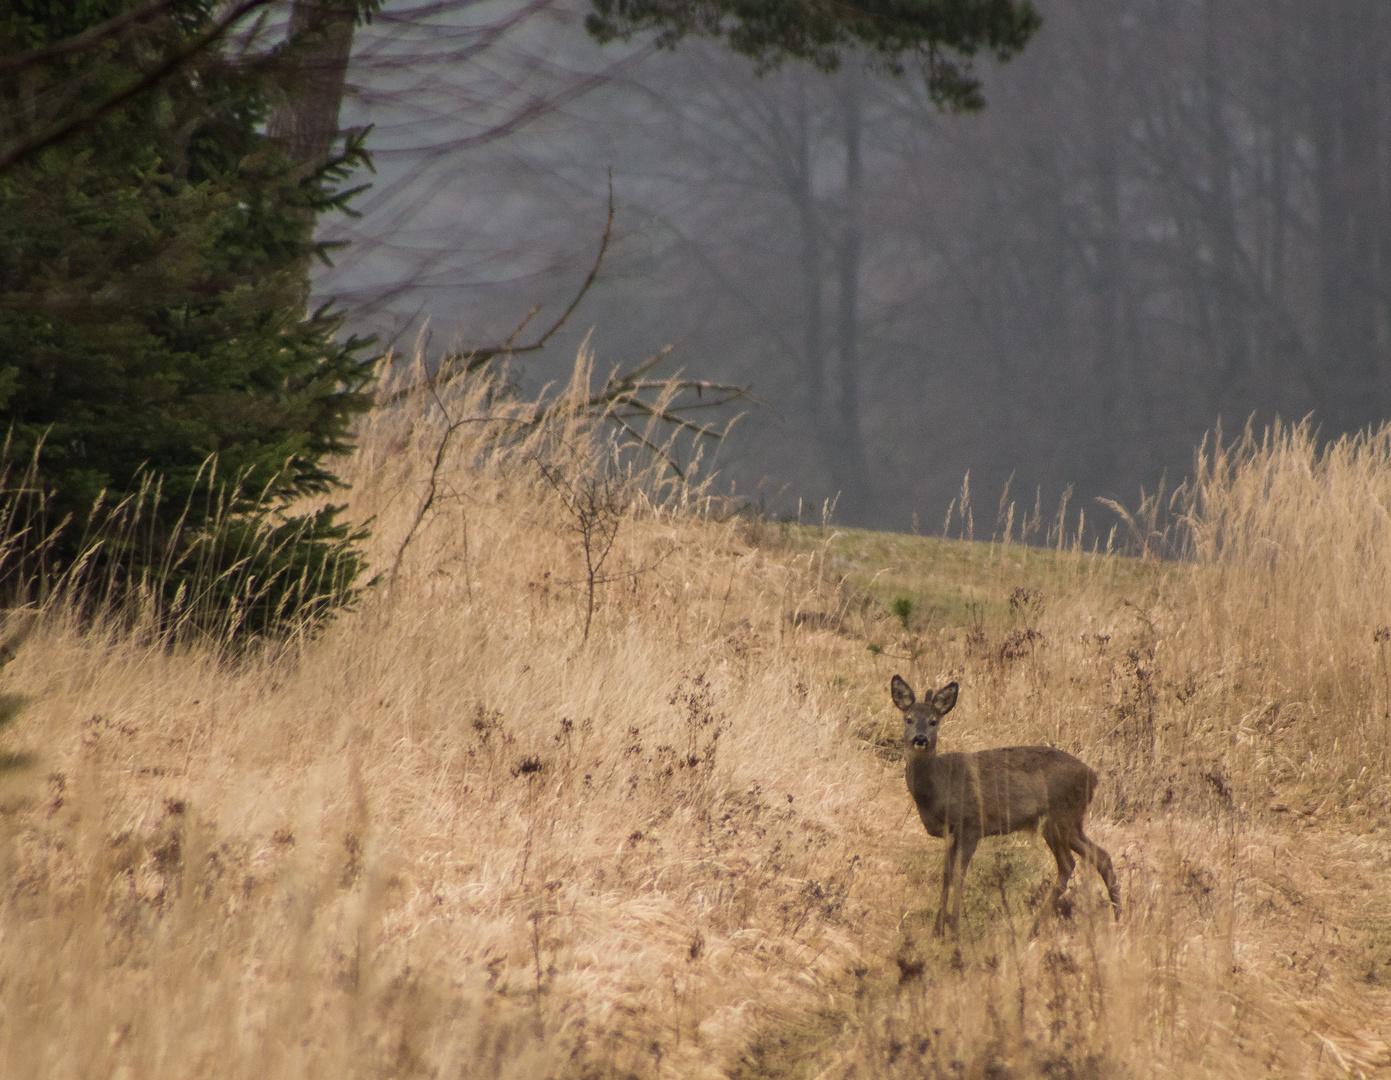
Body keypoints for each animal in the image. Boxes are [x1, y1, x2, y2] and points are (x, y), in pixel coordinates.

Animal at [890, 673, 1118, 935]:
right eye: (908, 719)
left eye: (933, 721)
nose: (920, 739)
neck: (939, 786)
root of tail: (1093, 777)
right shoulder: (951, 832)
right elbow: (945, 875)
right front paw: (937, 931)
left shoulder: (971, 825)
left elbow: (958, 875)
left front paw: (954, 930)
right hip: (1071, 822)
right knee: (1101, 856)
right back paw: (1118, 918)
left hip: (1057, 817)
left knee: (1067, 864)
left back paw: (1034, 929)